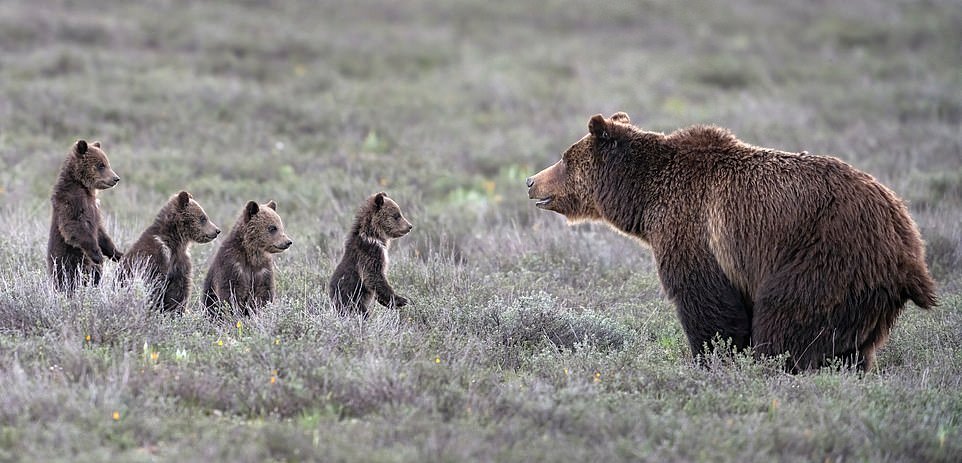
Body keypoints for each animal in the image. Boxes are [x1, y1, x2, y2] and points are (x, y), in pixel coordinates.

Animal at [47, 138, 124, 292]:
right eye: (101, 165)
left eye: (107, 162)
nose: (116, 178)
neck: (84, 187)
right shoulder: (71, 202)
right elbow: (74, 226)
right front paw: (98, 255)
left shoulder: (94, 208)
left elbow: (101, 232)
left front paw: (117, 253)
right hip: (67, 261)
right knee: (68, 278)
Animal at [528, 113, 932, 374]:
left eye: (564, 158)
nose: (531, 180)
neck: (644, 197)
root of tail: (908, 240)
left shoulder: (694, 229)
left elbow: (707, 303)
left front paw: (710, 358)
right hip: (864, 290)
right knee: (847, 343)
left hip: (827, 253)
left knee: (788, 318)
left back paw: (776, 365)